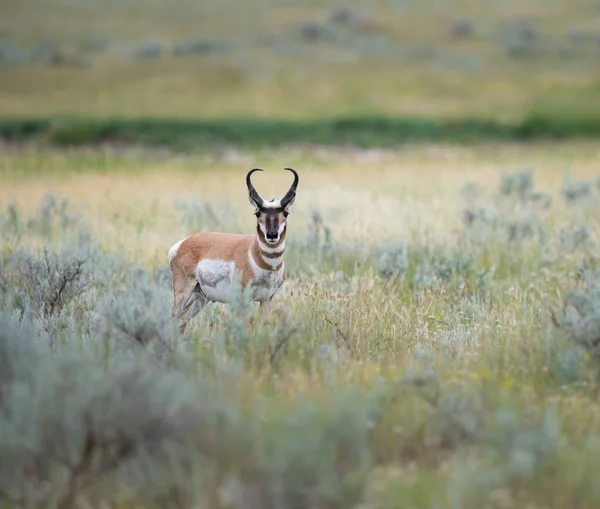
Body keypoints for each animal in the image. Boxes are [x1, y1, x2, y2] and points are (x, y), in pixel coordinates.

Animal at [168, 167, 298, 334]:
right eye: (257, 213)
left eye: (285, 213)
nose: (271, 235)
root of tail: (182, 243)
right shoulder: (244, 300)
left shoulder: (266, 299)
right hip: (183, 293)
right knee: (173, 320)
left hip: (201, 297)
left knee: (182, 321)